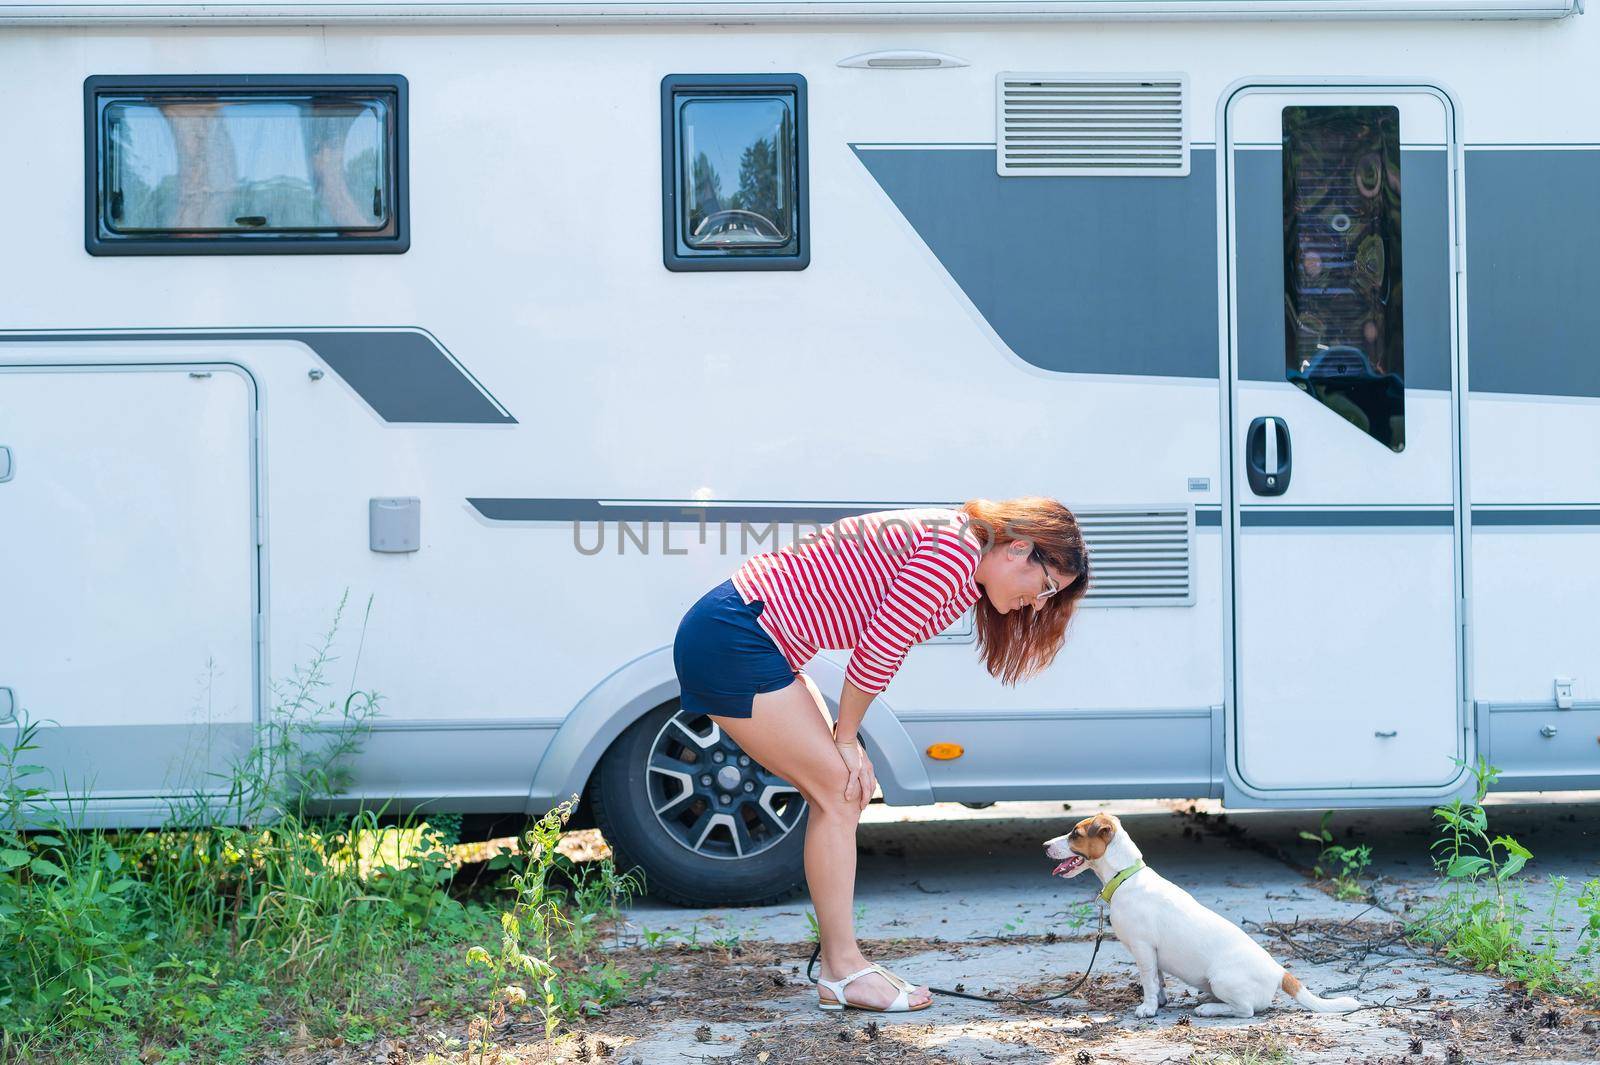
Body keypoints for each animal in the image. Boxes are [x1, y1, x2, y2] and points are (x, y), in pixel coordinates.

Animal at [1036, 809, 1363, 1017]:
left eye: (1075, 834)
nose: (1044, 845)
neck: (1125, 876)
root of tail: (1280, 973)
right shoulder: (1153, 955)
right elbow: (1158, 980)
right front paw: (1161, 1002)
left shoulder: (1143, 949)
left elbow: (1148, 981)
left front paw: (1148, 1008)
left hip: (1222, 978)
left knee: (1245, 1011)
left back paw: (1209, 1008)